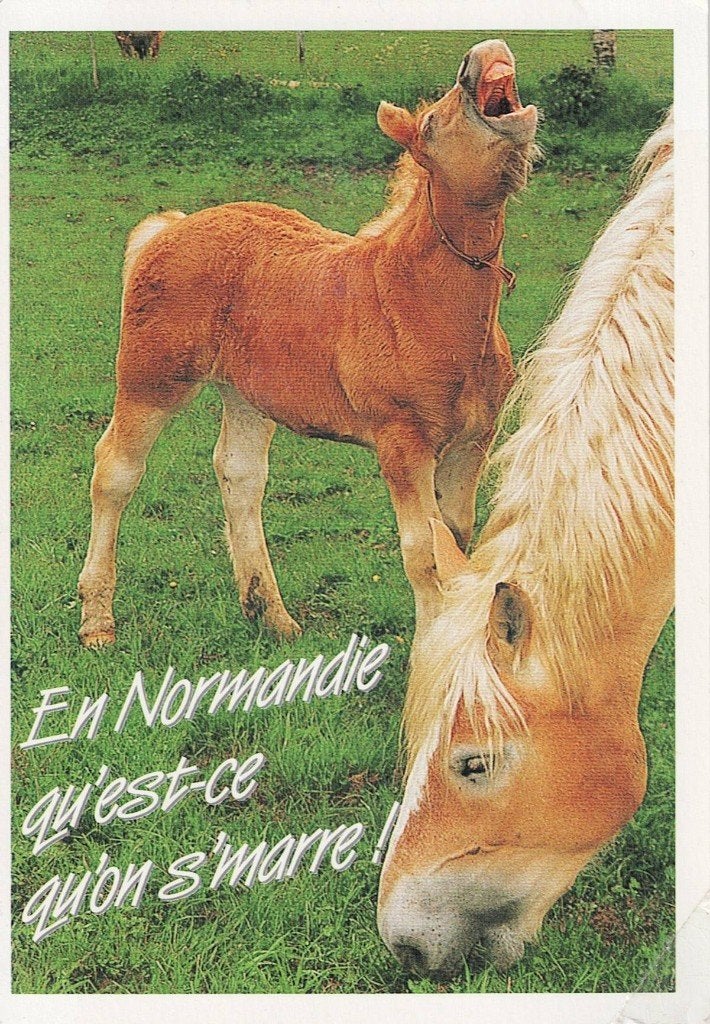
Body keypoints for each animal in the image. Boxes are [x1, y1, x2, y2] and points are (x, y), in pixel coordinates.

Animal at [78, 39, 538, 647]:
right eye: (433, 123)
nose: (482, 55)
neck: (418, 299)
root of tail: (169, 228)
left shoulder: (471, 441)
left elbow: (457, 542)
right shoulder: (402, 442)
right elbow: (424, 553)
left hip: (246, 393)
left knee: (239, 474)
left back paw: (270, 614)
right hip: (151, 378)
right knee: (115, 472)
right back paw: (97, 622)